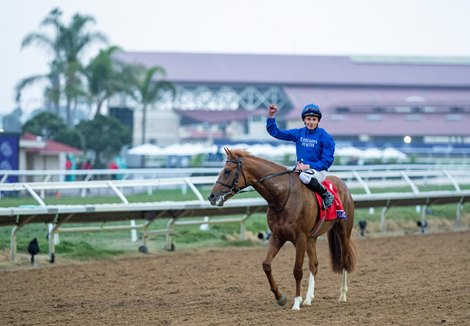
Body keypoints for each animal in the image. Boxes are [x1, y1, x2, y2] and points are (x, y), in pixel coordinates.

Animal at [207, 149, 358, 310]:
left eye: (227, 171)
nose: (212, 197)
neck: (283, 197)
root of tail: (342, 183)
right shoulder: (277, 236)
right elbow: (266, 265)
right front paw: (280, 297)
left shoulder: (300, 238)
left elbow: (297, 271)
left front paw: (296, 302)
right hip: (311, 238)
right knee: (314, 264)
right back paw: (308, 299)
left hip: (343, 231)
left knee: (344, 260)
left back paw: (342, 295)